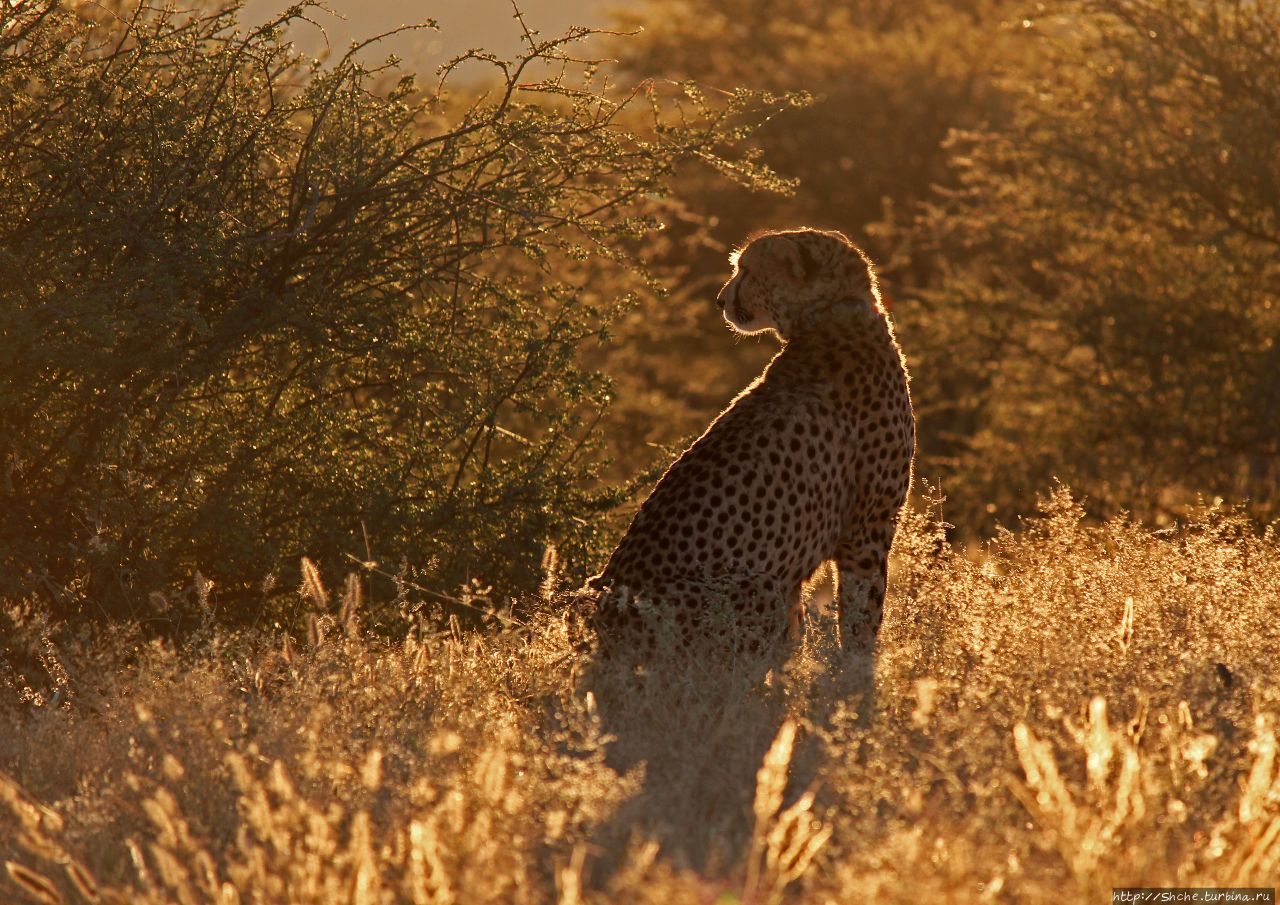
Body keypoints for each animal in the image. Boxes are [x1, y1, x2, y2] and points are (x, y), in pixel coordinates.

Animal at [586, 230, 916, 660]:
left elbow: (797, 641)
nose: (720, 300)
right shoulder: (866, 532)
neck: (830, 311)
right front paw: (858, 674)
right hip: (755, 586)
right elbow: (860, 624)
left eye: (746, 271)